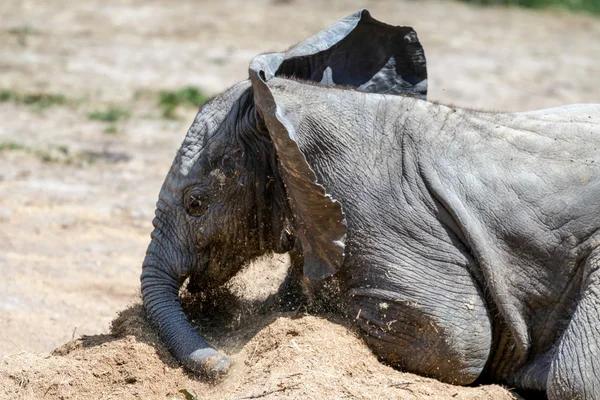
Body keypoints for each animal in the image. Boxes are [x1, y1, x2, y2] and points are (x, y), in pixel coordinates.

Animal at [142, 9, 600, 400]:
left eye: (196, 203)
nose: (223, 364)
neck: (284, 108)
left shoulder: (373, 210)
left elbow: (453, 340)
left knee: (571, 379)